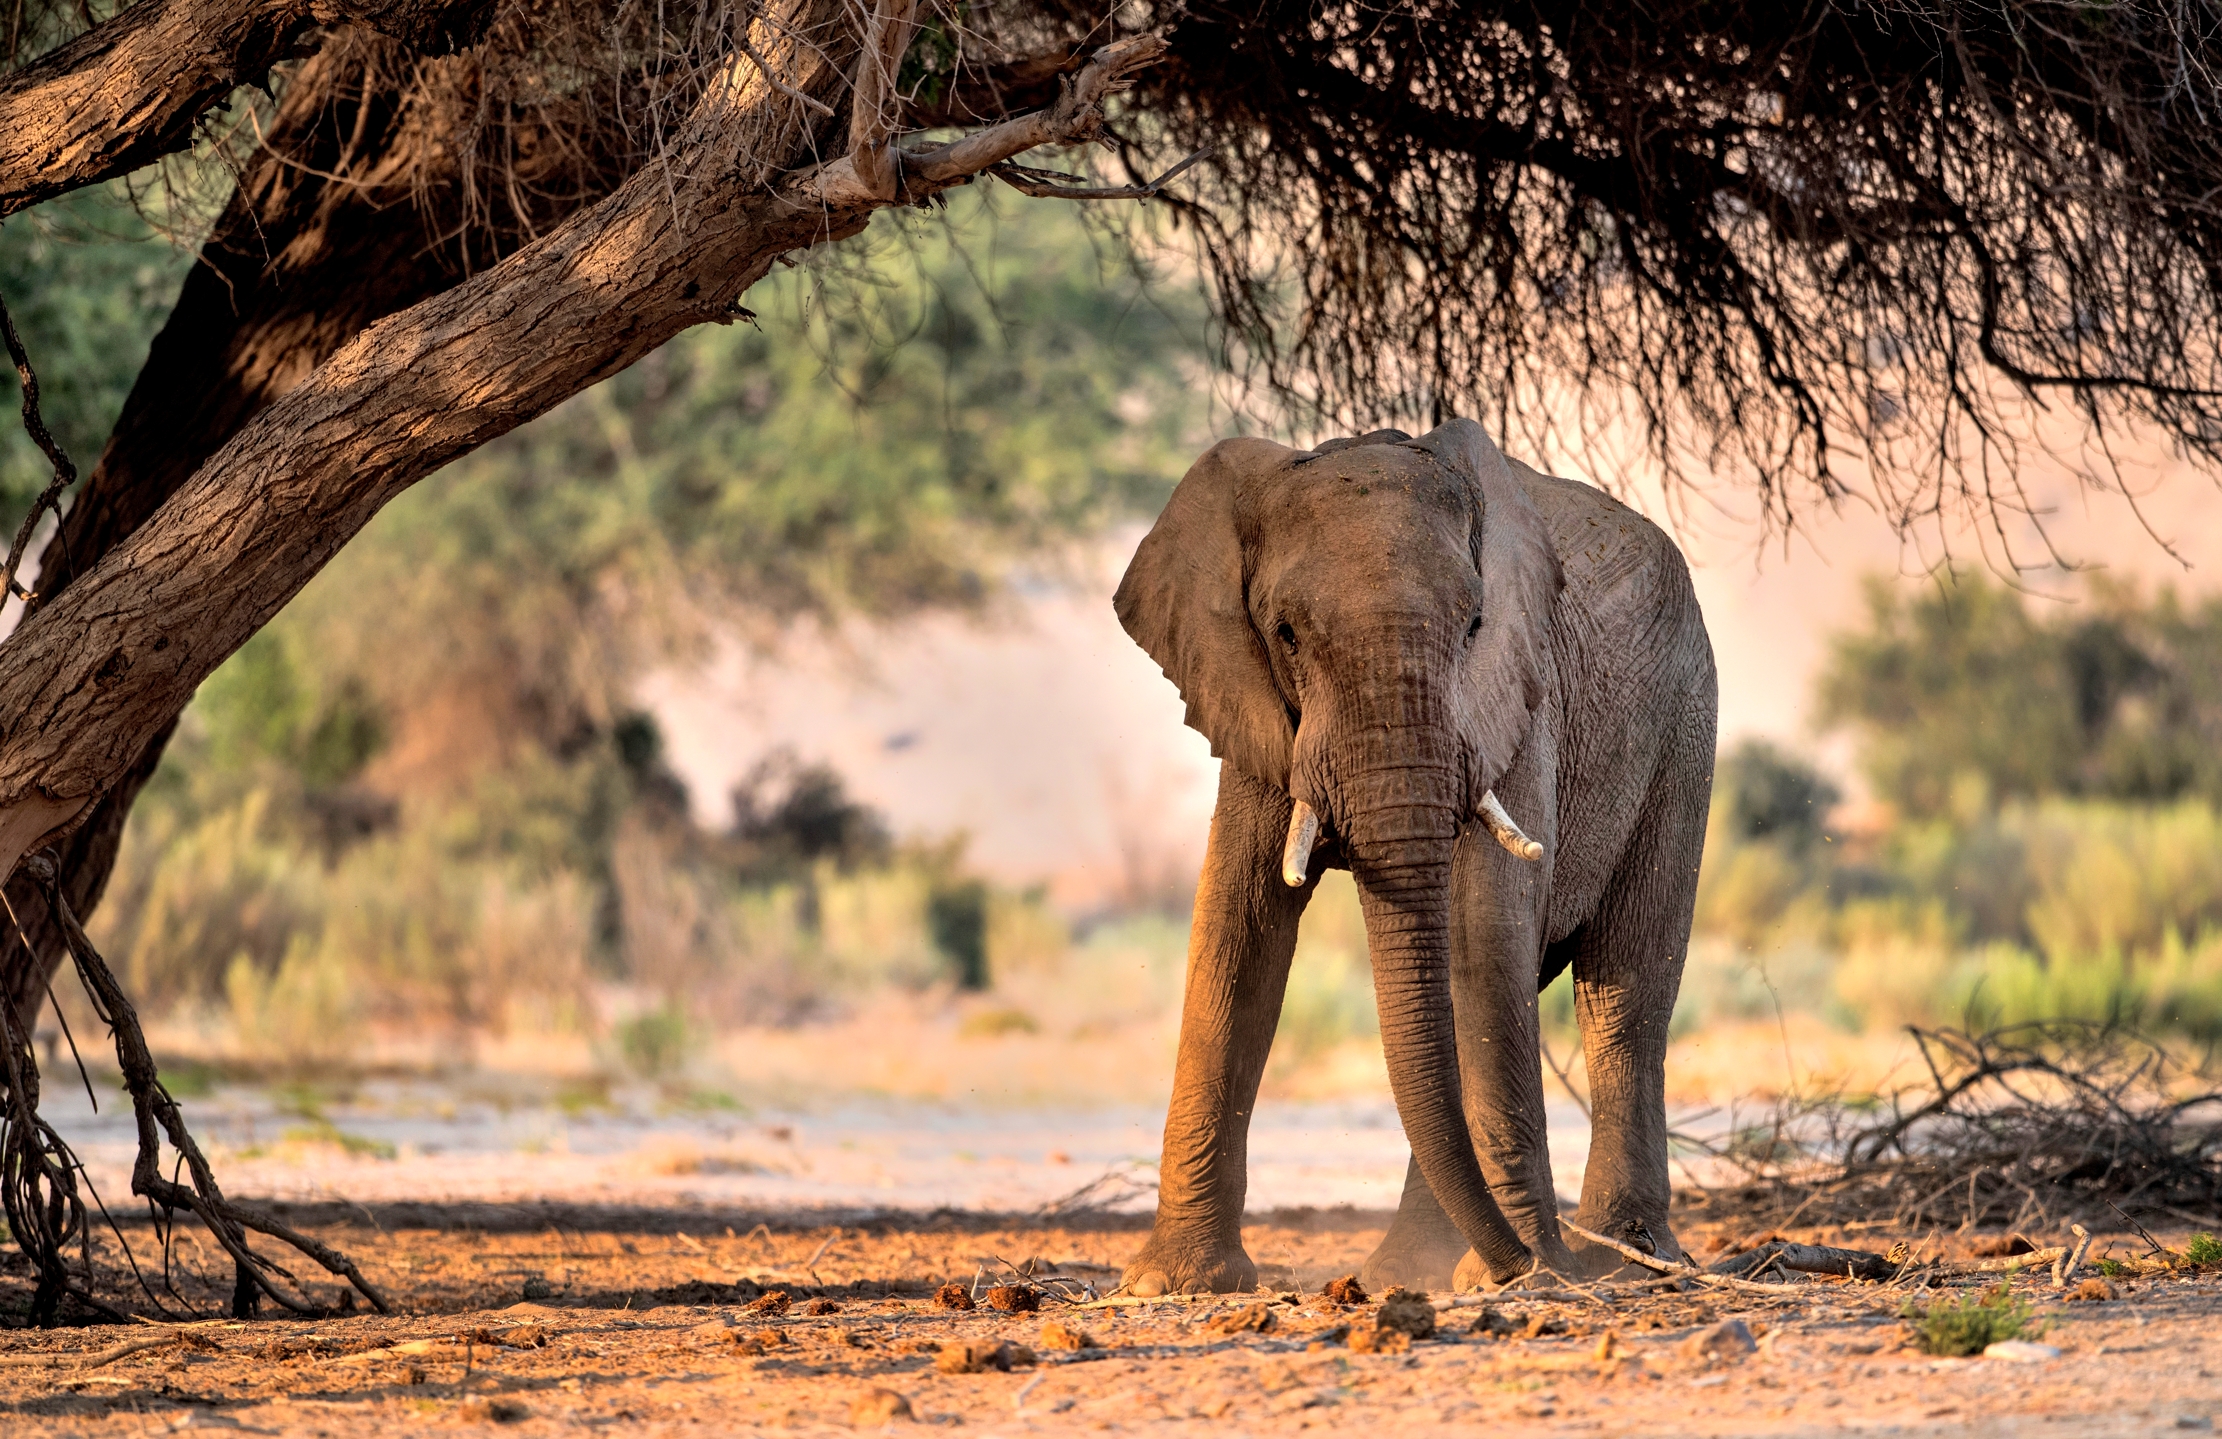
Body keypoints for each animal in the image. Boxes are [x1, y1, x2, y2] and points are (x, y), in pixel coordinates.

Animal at [1110, 417, 1716, 1294]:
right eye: (1285, 633)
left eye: (1472, 626)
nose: (1524, 1265)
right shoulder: (1251, 702)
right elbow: (1237, 933)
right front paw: (1177, 1282)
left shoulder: (1516, 695)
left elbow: (1485, 929)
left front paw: (1532, 1273)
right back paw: (1417, 1267)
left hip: (1685, 726)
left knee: (1624, 997)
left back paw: (1622, 1260)